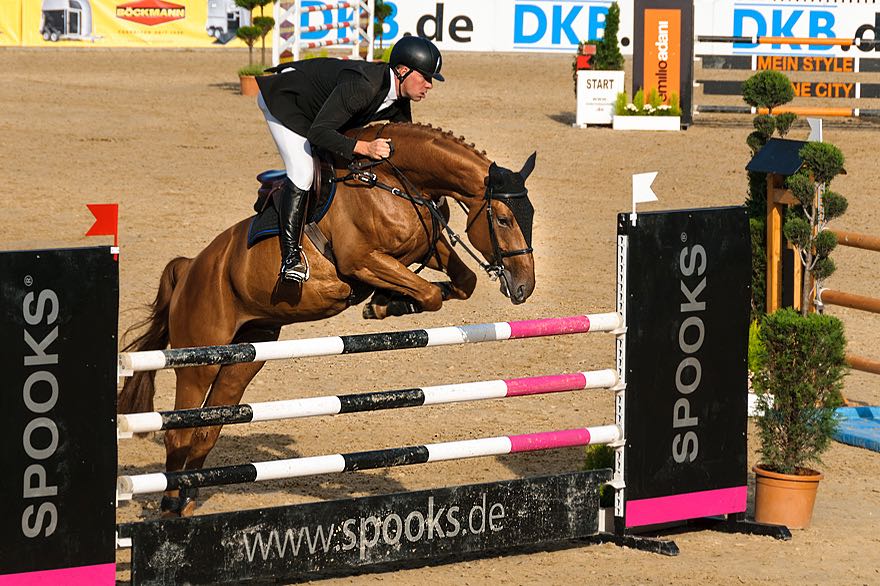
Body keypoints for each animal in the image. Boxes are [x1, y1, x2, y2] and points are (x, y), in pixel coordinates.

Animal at [118, 121, 536, 512]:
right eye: (503, 219)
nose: (524, 287)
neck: (395, 181)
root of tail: (190, 268)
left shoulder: (424, 248)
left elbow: (461, 282)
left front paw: (388, 303)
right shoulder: (361, 260)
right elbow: (430, 292)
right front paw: (386, 302)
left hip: (246, 355)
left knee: (208, 428)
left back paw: (187, 502)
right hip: (199, 359)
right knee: (179, 431)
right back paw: (170, 504)